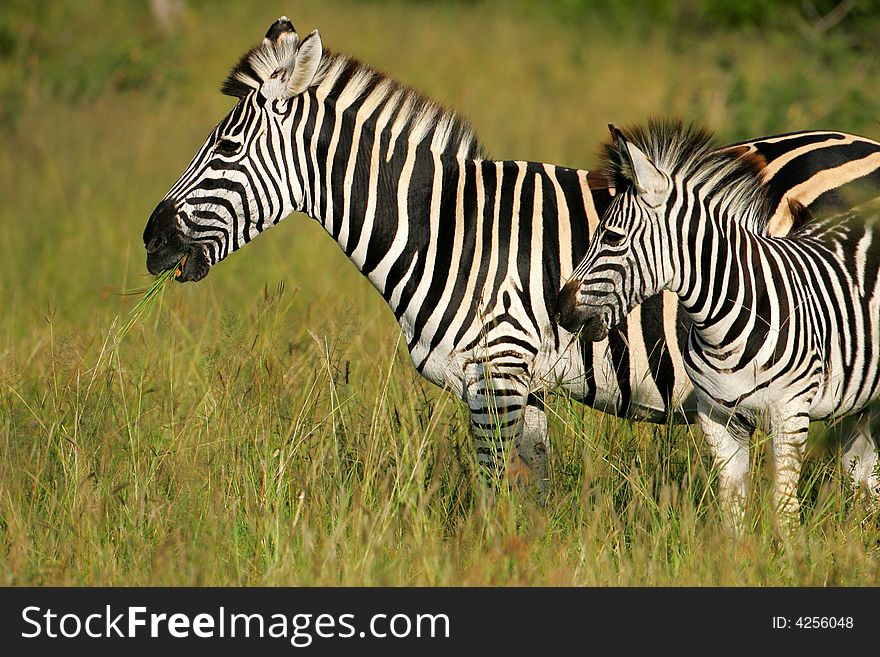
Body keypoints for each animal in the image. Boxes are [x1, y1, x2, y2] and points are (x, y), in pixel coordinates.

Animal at [556, 120, 880, 524]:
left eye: (612, 237)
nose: (560, 307)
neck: (724, 327)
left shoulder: (790, 414)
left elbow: (785, 511)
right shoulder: (719, 419)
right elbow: (733, 510)